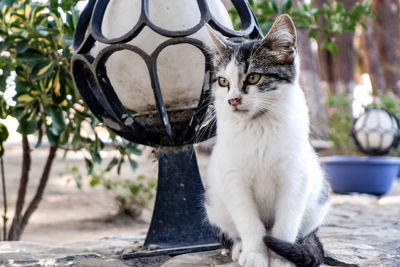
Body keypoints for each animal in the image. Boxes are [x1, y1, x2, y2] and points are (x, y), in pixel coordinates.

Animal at [203, 14, 332, 267]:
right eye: (223, 82)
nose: (232, 100)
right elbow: (248, 222)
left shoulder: (296, 178)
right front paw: (255, 254)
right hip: (214, 202)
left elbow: (285, 224)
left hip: (318, 202)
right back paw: (239, 249)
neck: (258, 127)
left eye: (253, 77)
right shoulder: (234, 180)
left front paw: (280, 259)